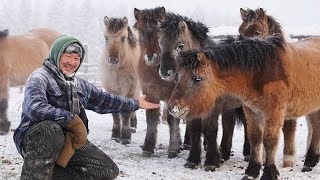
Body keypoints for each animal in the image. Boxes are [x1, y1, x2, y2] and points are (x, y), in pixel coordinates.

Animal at [100, 16, 140, 145]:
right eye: (106, 37)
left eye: (123, 38)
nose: (113, 59)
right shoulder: (111, 90)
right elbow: (115, 113)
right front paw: (116, 135)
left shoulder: (130, 90)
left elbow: (126, 112)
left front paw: (126, 136)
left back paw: (133, 126)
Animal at [133, 6, 182, 158]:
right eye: (141, 31)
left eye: (158, 32)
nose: (150, 56)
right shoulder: (150, 94)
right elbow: (151, 119)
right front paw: (148, 147)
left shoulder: (173, 95)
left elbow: (173, 120)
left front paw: (173, 149)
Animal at [159, 12, 249, 170]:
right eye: (161, 43)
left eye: (180, 45)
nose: (165, 72)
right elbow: (195, 129)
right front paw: (193, 159)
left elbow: (209, 130)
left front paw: (211, 161)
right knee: (229, 124)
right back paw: (224, 153)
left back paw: (247, 153)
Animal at [166, 34, 320, 179]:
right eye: (179, 76)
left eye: (197, 79)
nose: (173, 108)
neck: (262, 72)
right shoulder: (252, 111)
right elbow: (255, 138)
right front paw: (252, 171)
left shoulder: (274, 113)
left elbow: (270, 141)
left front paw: (269, 173)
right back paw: (310, 161)